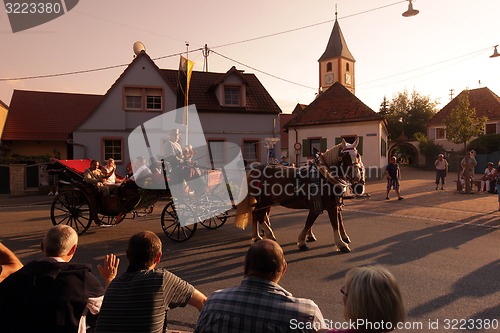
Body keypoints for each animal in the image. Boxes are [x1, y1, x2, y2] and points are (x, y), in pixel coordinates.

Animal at [234, 138, 364, 252]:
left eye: (357, 155)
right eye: (345, 157)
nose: (357, 179)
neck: (323, 176)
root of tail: (255, 170)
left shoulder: (330, 206)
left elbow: (315, 222)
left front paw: (305, 239)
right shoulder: (325, 206)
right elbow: (328, 223)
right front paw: (341, 244)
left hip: (266, 202)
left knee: (259, 215)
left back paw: (260, 235)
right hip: (264, 201)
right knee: (259, 216)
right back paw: (268, 235)